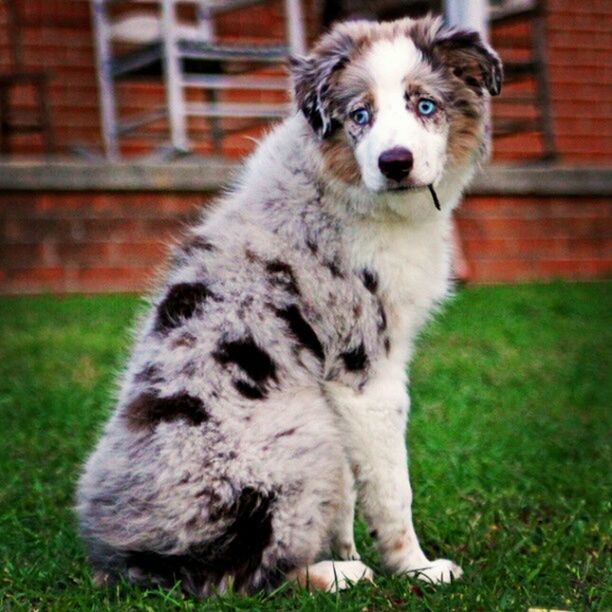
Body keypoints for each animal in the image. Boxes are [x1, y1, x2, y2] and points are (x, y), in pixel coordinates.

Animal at [75, 14, 502, 596]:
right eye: (360, 115)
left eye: (425, 105)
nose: (395, 163)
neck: (346, 191)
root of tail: (128, 560)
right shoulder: (365, 373)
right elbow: (392, 487)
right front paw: (416, 568)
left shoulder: (340, 389)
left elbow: (350, 492)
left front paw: (349, 545)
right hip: (300, 429)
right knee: (238, 576)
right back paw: (337, 574)